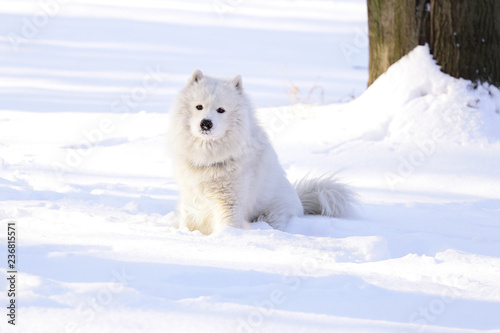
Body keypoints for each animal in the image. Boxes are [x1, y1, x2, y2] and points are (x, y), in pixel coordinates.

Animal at [170, 69, 358, 233]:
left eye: (221, 110)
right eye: (199, 107)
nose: (206, 124)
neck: (208, 157)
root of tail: (300, 203)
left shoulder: (229, 201)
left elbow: (228, 225)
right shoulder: (190, 197)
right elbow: (188, 222)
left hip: (270, 214)